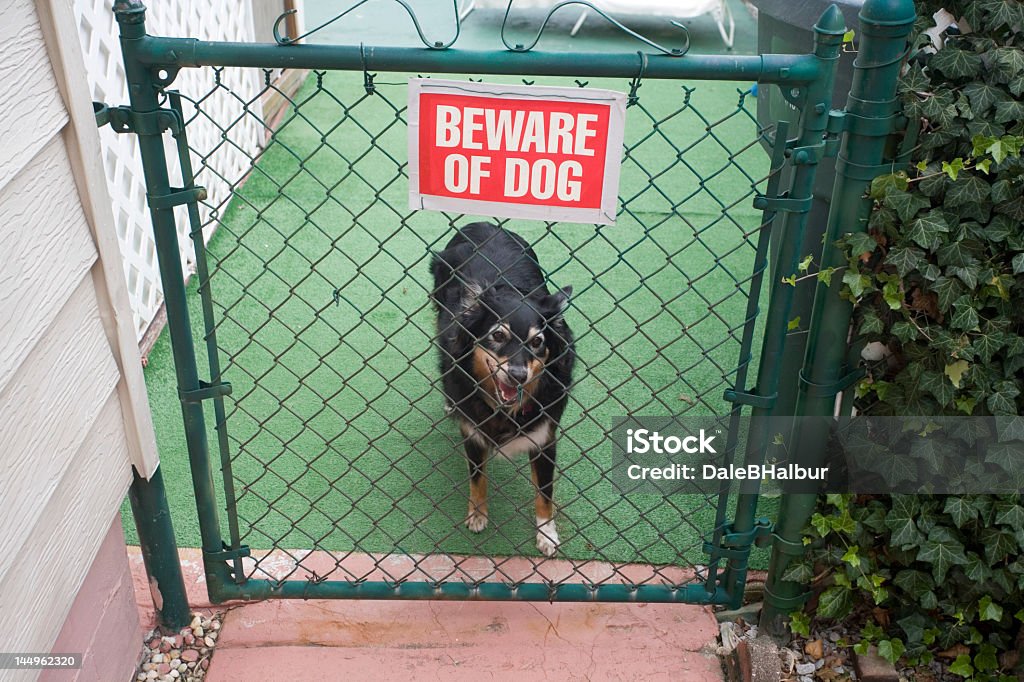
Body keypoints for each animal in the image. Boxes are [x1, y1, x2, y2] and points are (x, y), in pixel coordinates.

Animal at [432, 220, 577, 557]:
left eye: (537, 342)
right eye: (498, 335)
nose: (518, 375)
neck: (505, 410)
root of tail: (484, 224)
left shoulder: (545, 439)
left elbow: (545, 492)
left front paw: (546, 533)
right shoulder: (472, 433)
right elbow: (477, 478)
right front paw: (477, 515)